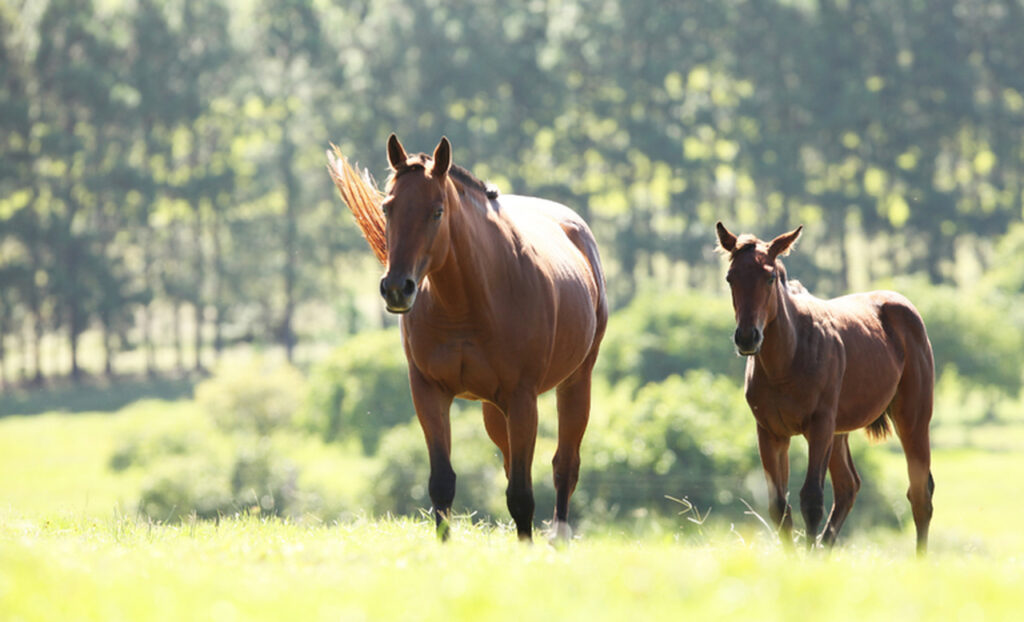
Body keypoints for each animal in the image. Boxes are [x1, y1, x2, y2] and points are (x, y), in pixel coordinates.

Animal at [325, 135, 606, 541]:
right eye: (387, 207)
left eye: (437, 211)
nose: (396, 289)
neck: (468, 304)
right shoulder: (429, 392)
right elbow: (443, 484)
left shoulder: (522, 399)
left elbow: (522, 493)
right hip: (494, 409)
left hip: (575, 382)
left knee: (564, 466)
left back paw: (558, 539)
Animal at [716, 222, 933, 553]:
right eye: (730, 278)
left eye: (770, 277)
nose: (747, 337)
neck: (786, 361)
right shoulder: (770, 432)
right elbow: (779, 505)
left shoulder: (819, 425)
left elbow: (812, 498)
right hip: (839, 431)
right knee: (848, 486)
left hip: (912, 419)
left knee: (920, 493)